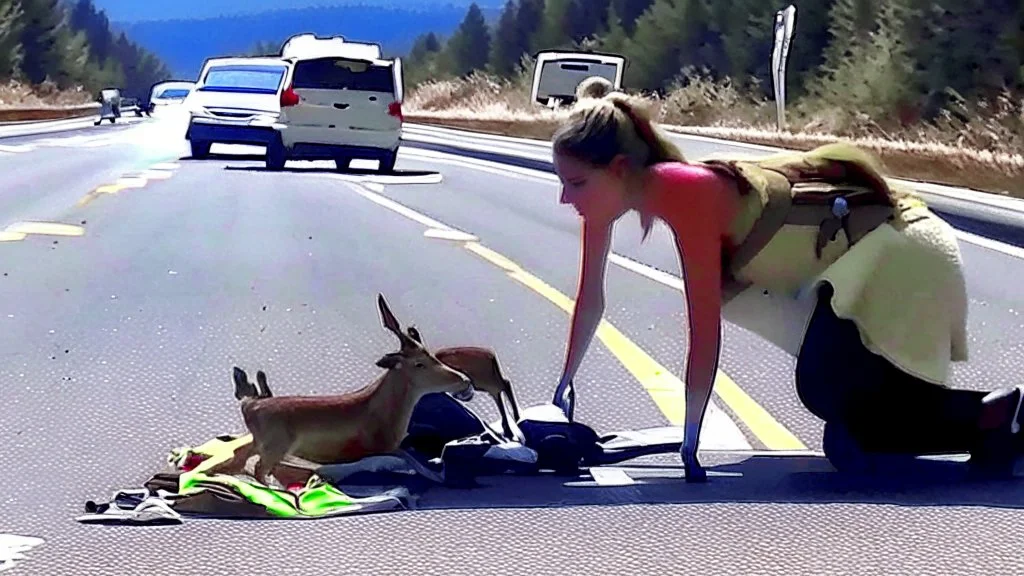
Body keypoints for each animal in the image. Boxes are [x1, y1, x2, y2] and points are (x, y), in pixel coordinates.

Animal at [232, 291, 471, 483]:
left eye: (432, 355)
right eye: (419, 363)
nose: (464, 381)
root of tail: (249, 408)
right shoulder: (383, 449)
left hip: (260, 443)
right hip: (275, 447)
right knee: (258, 468)